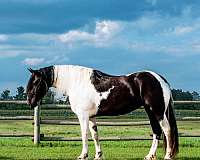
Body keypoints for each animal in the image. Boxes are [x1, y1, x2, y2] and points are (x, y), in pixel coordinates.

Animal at [26, 65, 178, 160]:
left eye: (36, 82)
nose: (30, 102)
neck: (76, 83)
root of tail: (160, 79)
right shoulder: (91, 116)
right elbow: (95, 134)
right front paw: (98, 155)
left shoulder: (83, 116)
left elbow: (84, 134)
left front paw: (83, 155)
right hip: (150, 111)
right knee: (156, 131)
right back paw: (149, 156)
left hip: (157, 111)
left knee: (167, 130)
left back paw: (168, 156)